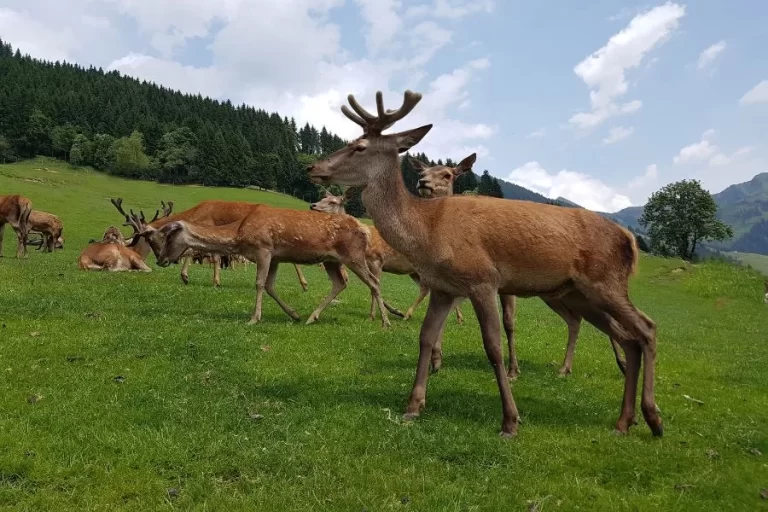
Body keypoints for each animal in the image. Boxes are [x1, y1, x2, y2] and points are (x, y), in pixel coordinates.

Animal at [131, 202, 392, 326]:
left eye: (168, 236)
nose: (161, 260)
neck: (238, 235)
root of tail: (365, 229)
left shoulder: (263, 248)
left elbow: (258, 283)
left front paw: (254, 318)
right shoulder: (275, 256)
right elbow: (269, 286)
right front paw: (294, 314)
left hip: (353, 255)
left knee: (374, 282)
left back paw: (385, 321)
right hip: (331, 260)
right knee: (340, 283)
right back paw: (311, 317)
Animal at [412, 156, 628, 376]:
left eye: (447, 174)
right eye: (423, 171)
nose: (423, 182)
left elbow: (508, 322)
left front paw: (513, 370)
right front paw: (436, 360)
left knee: (607, 320)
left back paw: (622, 363)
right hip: (555, 294)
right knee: (575, 319)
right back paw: (565, 368)